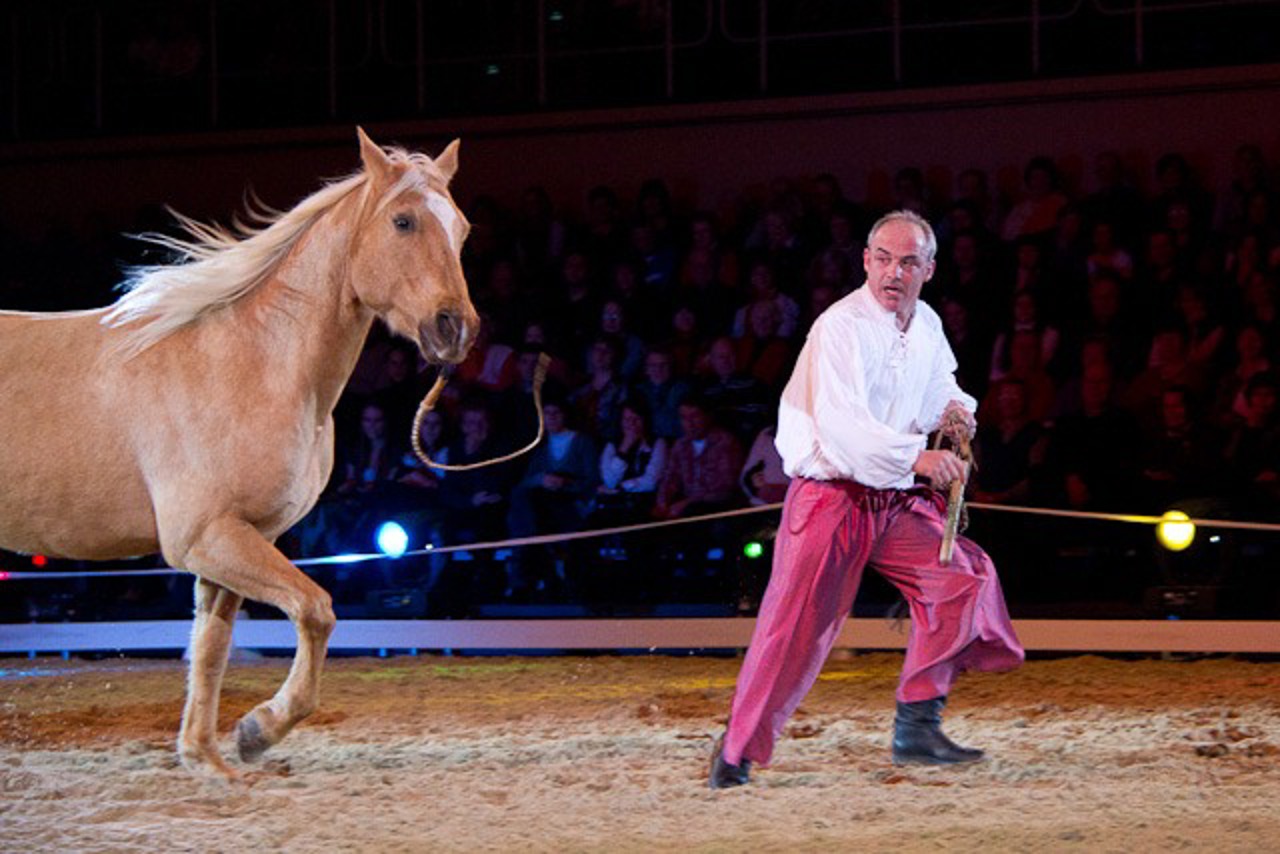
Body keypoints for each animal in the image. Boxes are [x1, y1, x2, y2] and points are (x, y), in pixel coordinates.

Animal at [0, 128, 479, 778]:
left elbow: (211, 647)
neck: (252, 360)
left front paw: (206, 756)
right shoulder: (207, 538)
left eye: (461, 229)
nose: (455, 329)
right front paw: (259, 729)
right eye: (403, 221)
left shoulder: (239, 540)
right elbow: (316, 609)